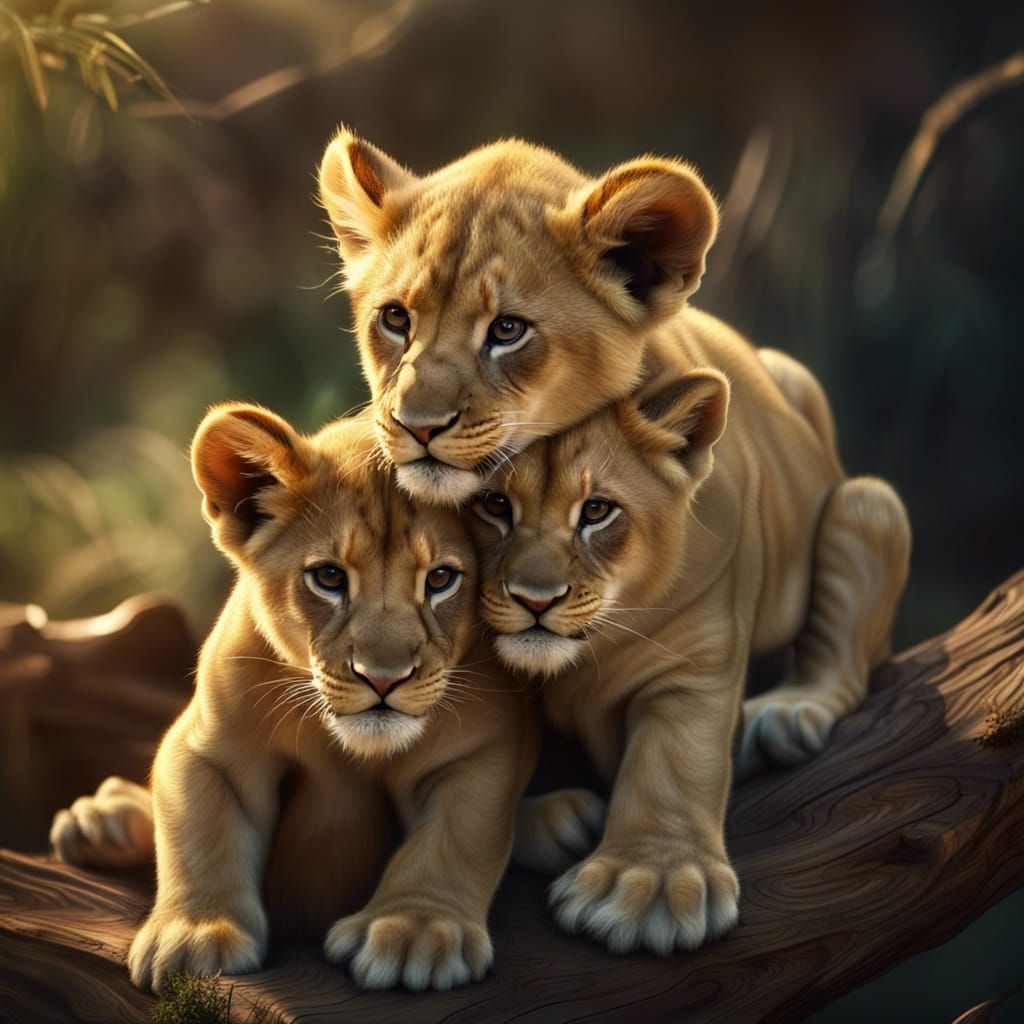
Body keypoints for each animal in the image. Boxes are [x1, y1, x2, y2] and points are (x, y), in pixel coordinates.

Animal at [52, 404, 537, 993]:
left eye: (441, 579)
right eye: (328, 577)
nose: (383, 679)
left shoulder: (486, 744)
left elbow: (453, 837)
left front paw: (413, 931)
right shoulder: (211, 747)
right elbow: (200, 832)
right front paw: (195, 936)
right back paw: (103, 819)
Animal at [467, 348, 910, 956]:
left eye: (597, 511)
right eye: (493, 504)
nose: (536, 599)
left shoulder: (696, 650)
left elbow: (674, 758)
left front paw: (647, 885)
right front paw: (551, 821)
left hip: (865, 505)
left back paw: (785, 715)